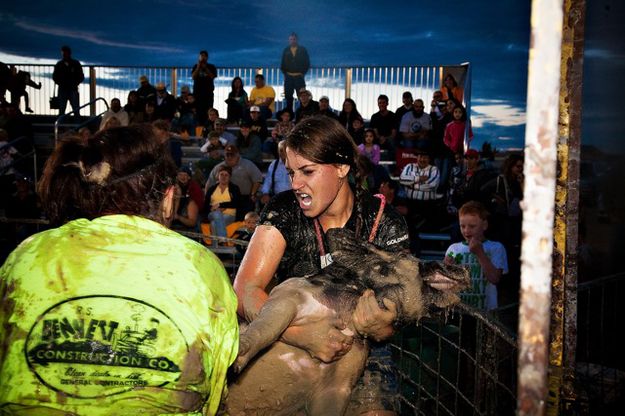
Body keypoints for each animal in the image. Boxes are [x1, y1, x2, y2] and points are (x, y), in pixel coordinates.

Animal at [224, 229, 468, 414]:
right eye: (405, 256)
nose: (460, 267)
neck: (346, 313)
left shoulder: (340, 382)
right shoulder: (288, 295)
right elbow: (267, 328)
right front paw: (235, 360)